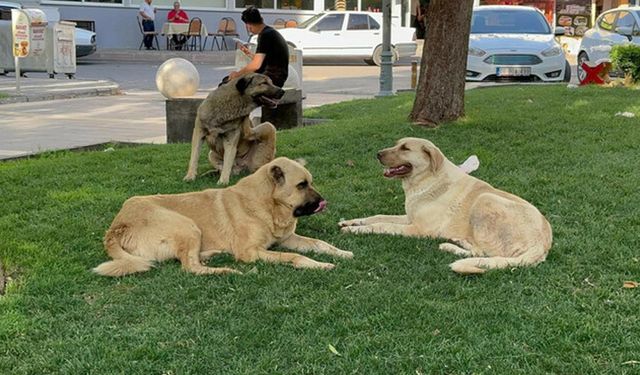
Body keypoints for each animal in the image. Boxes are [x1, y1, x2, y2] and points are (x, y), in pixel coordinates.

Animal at [94, 157, 352, 278]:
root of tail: (117, 226)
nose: (324, 202)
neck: (267, 205)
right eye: (301, 185)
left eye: (310, 182)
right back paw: (226, 270)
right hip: (187, 225)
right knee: (190, 268)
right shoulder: (251, 252)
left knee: (189, 259)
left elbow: (320, 243)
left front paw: (341, 252)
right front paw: (319, 265)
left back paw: (211, 255)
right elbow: (294, 257)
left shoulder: (287, 239)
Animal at [338, 138, 552, 276]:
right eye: (397, 144)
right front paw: (351, 222)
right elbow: (377, 216)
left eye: (405, 148)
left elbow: (382, 225)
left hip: (485, 199)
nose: (377, 154)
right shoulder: (409, 218)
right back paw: (457, 240)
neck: (427, 179)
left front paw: (355, 230)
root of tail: (542, 245)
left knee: (483, 253)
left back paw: (449, 246)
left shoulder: (418, 229)